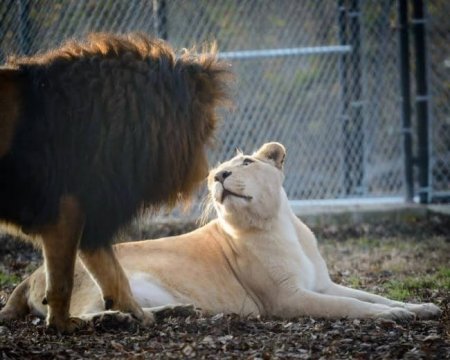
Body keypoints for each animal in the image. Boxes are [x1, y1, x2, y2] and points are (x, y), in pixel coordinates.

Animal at [0, 32, 232, 334]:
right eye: (207, 127)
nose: (207, 171)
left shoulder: (92, 212)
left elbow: (114, 275)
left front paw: (139, 315)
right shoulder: (68, 206)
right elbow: (63, 282)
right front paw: (64, 325)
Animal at [0, 142, 442, 322]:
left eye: (245, 162)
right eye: (216, 170)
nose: (218, 176)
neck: (276, 223)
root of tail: (27, 277)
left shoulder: (322, 284)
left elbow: (369, 295)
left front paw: (420, 307)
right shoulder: (286, 298)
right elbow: (352, 307)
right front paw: (394, 316)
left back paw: (176, 311)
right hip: (90, 278)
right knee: (85, 314)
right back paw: (120, 322)